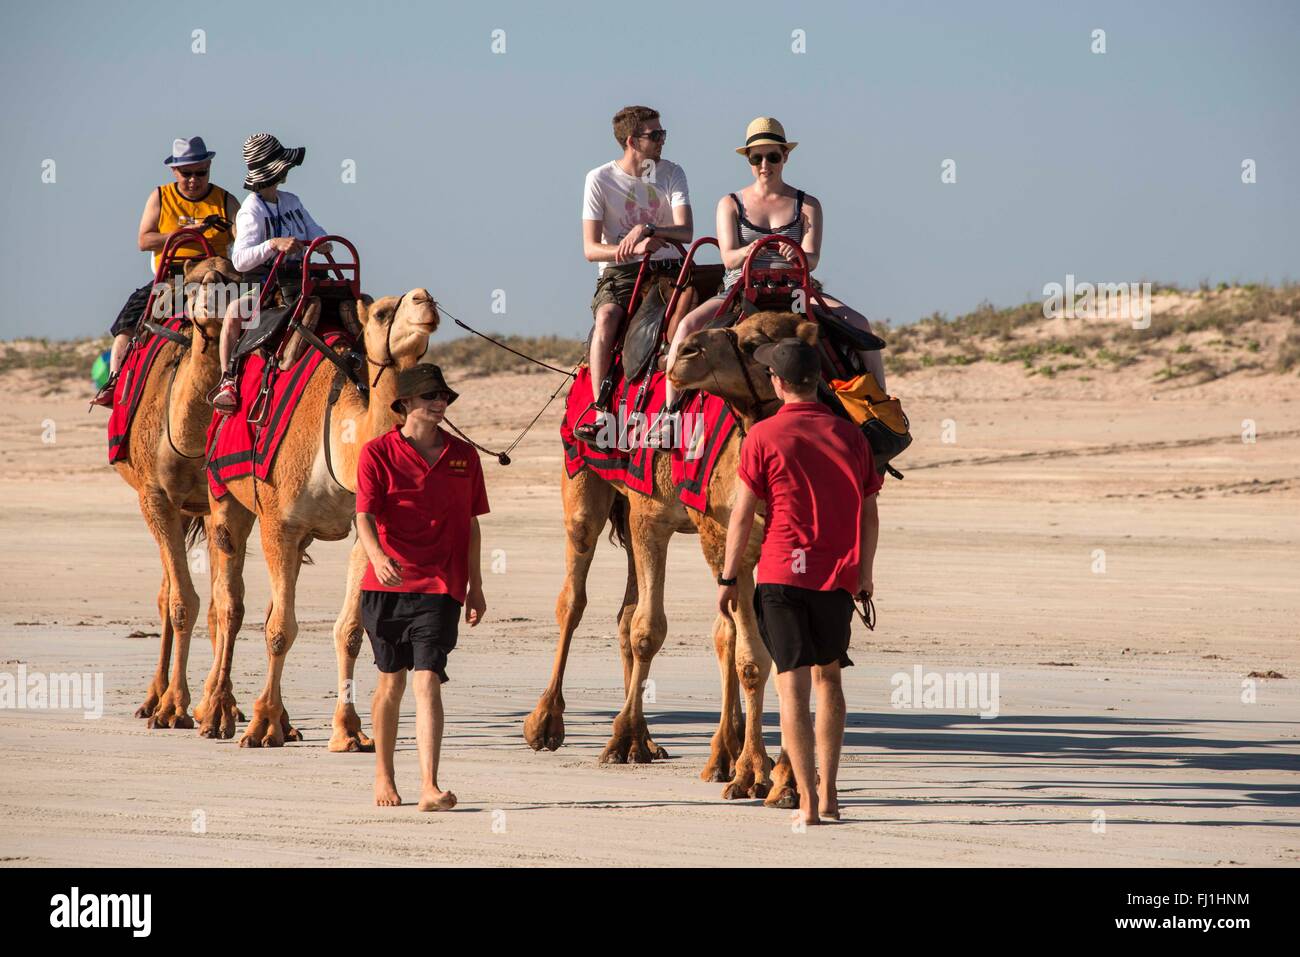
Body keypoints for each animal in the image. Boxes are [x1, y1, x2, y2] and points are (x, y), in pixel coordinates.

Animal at [109, 256, 242, 729]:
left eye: (233, 279)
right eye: (196, 283)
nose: (215, 303)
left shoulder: (224, 502)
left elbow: (221, 605)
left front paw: (217, 708)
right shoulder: (157, 497)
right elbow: (182, 601)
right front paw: (172, 708)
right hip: (168, 507)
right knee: (167, 593)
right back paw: (153, 699)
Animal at [204, 289, 440, 749]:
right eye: (382, 312)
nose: (426, 300)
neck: (338, 443)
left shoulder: (365, 528)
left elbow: (349, 632)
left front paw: (349, 731)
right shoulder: (280, 523)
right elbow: (280, 630)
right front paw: (261, 727)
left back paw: (285, 721)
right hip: (223, 496)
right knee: (228, 603)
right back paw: (215, 713)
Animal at [524, 309, 814, 805]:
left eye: (757, 341)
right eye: (744, 336)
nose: (685, 354)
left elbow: (753, 644)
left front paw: (764, 769)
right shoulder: (663, 521)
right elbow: (655, 631)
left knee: (628, 613)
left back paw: (663, 740)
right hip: (585, 484)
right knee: (573, 599)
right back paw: (547, 724)